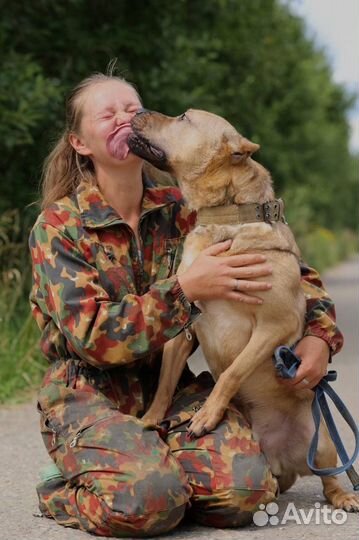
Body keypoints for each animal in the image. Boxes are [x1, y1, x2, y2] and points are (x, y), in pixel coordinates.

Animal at [128, 108, 358, 510]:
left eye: (183, 117)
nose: (137, 110)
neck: (226, 218)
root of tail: (283, 461)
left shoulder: (273, 327)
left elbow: (232, 372)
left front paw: (206, 415)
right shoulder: (183, 330)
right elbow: (165, 384)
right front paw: (151, 420)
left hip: (324, 441)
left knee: (331, 475)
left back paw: (344, 496)